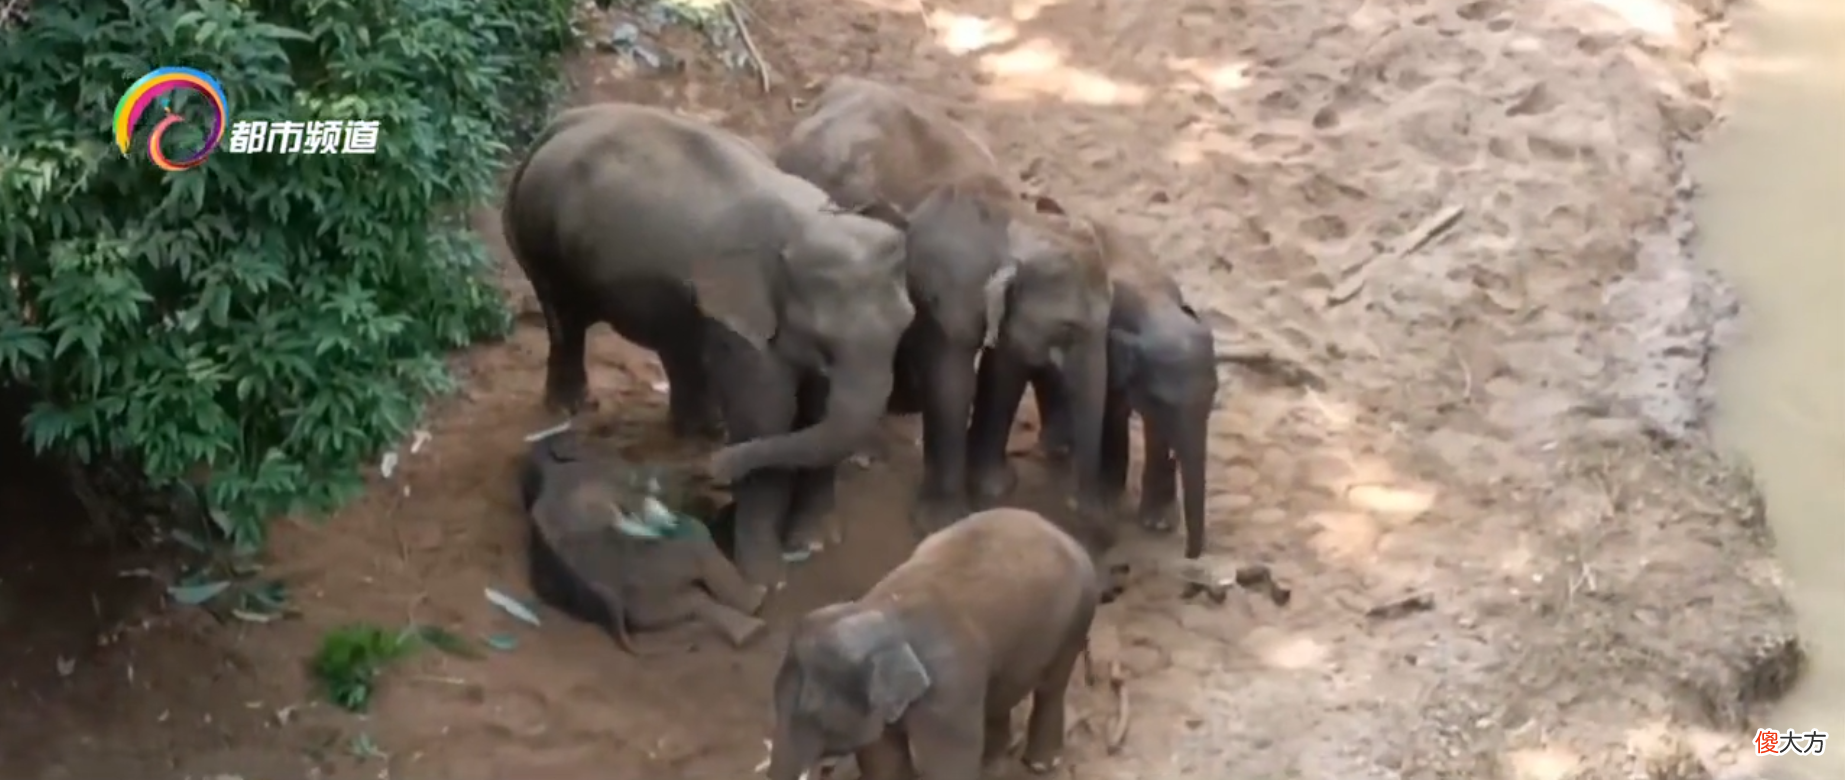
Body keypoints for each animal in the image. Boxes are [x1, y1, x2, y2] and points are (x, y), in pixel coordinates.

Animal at [502, 103, 916, 587]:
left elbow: (816, 414)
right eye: (823, 338)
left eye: (907, 323)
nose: (708, 472)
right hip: (539, 238)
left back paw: (700, 431)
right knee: (564, 317)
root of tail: (553, 127)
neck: (807, 224)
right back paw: (572, 409)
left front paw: (814, 544)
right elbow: (767, 419)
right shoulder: (741, 320)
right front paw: (765, 577)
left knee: (675, 342)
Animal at [518, 430, 772, 651]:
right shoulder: (616, 474)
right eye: (594, 436)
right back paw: (758, 603)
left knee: (693, 602)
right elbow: (660, 483)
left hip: (646, 600)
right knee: (699, 552)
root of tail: (612, 596)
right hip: (662, 560)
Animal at [763, 507, 1101, 780]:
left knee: (1051, 688)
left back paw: (1041, 765)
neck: (880, 610)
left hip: (1076, 617)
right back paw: (992, 764)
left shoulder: (951, 691)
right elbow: (883, 758)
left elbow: (947, 767)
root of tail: (1063, 532)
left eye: (812, 712)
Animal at [776, 76, 1115, 533]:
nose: (1081, 510)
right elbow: (951, 381)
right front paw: (942, 521)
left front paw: (994, 490)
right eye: (1068, 328)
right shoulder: (940, 291)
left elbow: (1004, 371)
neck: (1010, 217)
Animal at [1031, 225, 1219, 558]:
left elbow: (1155, 430)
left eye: (1215, 391)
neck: (1153, 301)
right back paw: (1057, 448)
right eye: (1161, 400)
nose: (1189, 553)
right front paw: (1108, 495)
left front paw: (1158, 523)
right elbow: (1112, 410)